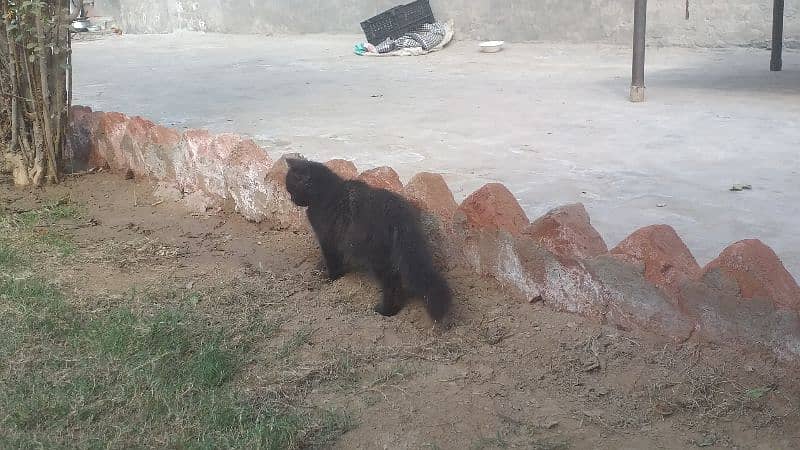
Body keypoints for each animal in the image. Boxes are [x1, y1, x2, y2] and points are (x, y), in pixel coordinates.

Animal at [286, 158, 450, 320]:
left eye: (292, 189)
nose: (292, 199)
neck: (326, 192)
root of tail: (395, 213)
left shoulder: (327, 237)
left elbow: (332, 259)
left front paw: (332, 276)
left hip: (376, 256)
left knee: (391, 284)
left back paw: (386, 311)